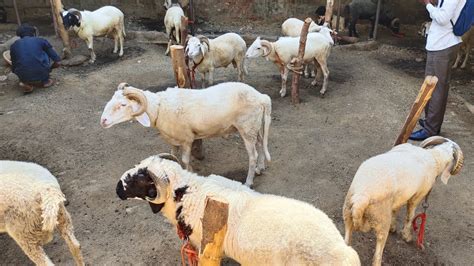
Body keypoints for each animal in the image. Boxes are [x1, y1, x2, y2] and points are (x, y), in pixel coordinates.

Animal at [100, 82, 270, 186]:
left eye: (123, 104)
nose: (103, 120)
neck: (159, 108)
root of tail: (261, 97)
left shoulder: (187, 139)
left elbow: (185, 160)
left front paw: (190, 173)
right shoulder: (173, 140)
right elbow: (173, 155)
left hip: (247, 127)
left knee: (253, 155)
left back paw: (249, 181)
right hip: (255, 127)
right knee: (260, 145)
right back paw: (260, 168)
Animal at [342, 137, 464, 266]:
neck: (434, 156)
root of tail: (361, 197)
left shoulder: (398, 197)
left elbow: (395, 210)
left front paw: (393, 227)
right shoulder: (417, 195)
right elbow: (410, 215)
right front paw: (407, 236)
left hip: (347, 213)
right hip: (381, 221)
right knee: (377, 257)